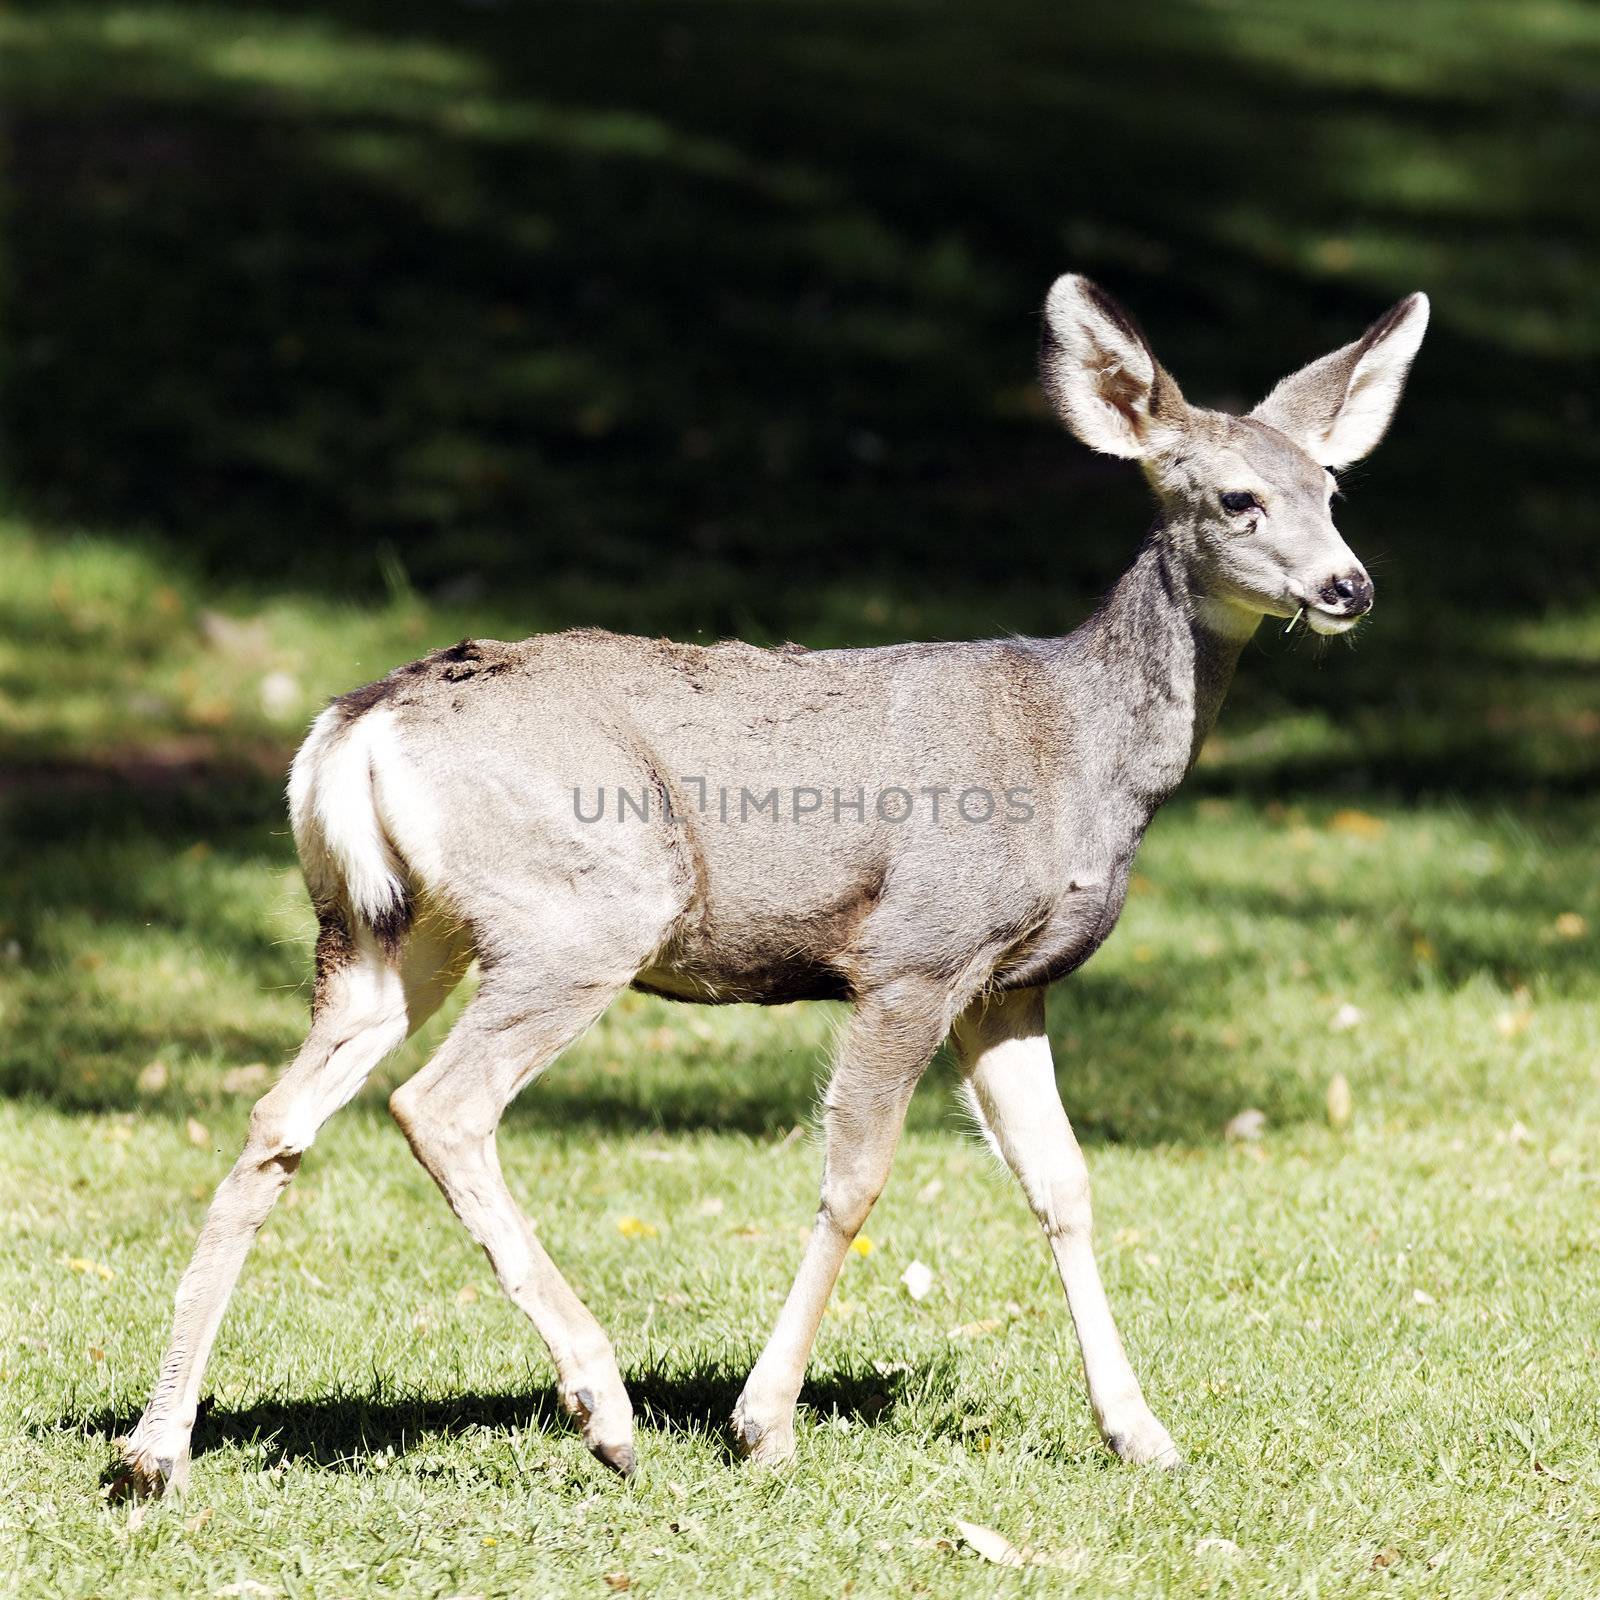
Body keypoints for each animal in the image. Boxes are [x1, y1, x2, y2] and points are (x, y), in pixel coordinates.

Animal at [118, 275, 1433, 1497]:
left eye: (1332, 490)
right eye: (1235, 498)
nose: (1351, 587)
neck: (1079, 747)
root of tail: (353, 726)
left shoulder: (1010, 985)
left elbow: (1062, 1181)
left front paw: (1140, 1433)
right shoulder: (916, 950)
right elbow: (854, 1179)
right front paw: (763, 1421)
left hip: (389, 930)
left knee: (277, 1118)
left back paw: (156, 1448)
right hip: (584, 907)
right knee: (437, 1106)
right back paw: (604, 1408)